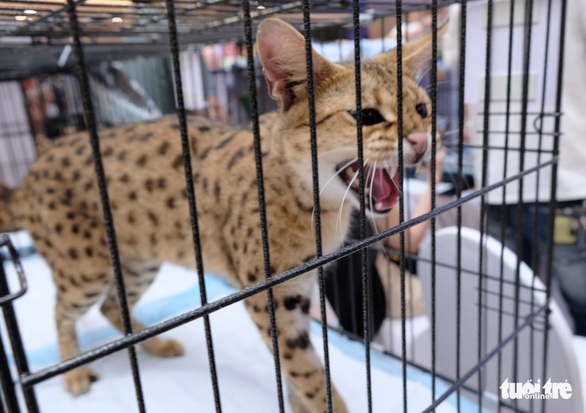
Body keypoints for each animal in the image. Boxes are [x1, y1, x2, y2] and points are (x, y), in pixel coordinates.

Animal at [0, 18, 438, 412]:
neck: (318, 204)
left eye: (423, 109)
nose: (421, 140)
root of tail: (28, 175)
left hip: (139, 262)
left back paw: (154, 343)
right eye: (367, 116)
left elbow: (292, 368)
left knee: (112, 307)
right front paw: (323, 405)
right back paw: (73, 371)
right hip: (85, 271)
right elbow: (307, 372)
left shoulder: (298, 292)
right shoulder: (269, 296)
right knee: (61, 314)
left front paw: (297, 403)